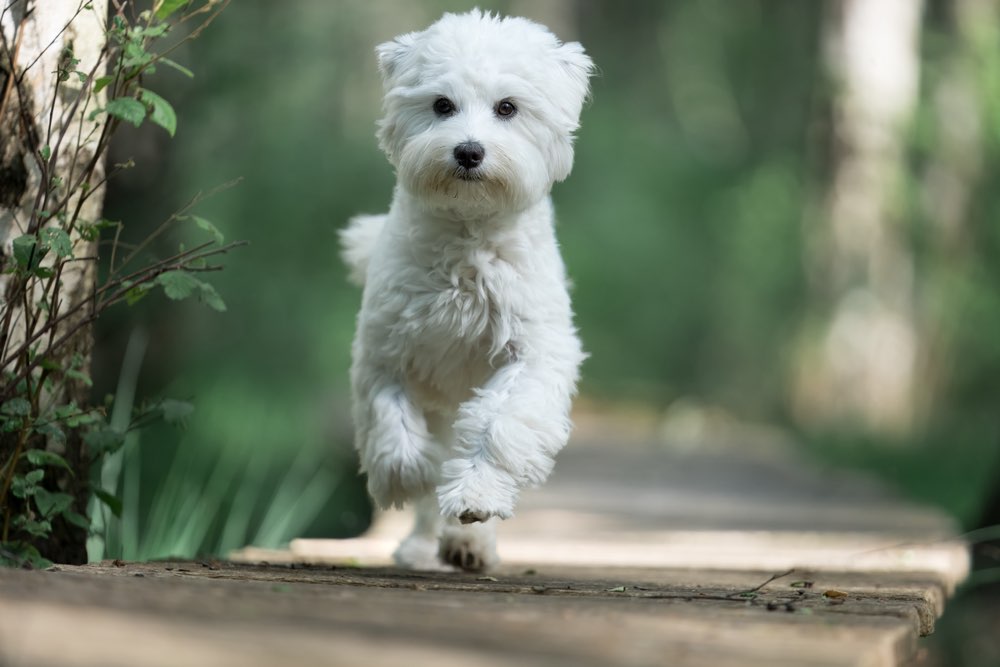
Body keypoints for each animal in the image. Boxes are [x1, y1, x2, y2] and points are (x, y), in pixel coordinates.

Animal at [344, 9, 592, 576]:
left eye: (507, 107)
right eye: (442, 105)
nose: (469, 151)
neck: (468, 236)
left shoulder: (532, 352)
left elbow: (496, 427)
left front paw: (474, 498)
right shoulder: (384, 348)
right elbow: (391, 420)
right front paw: (410, 474)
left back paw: (470, 543)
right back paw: (423, 543)